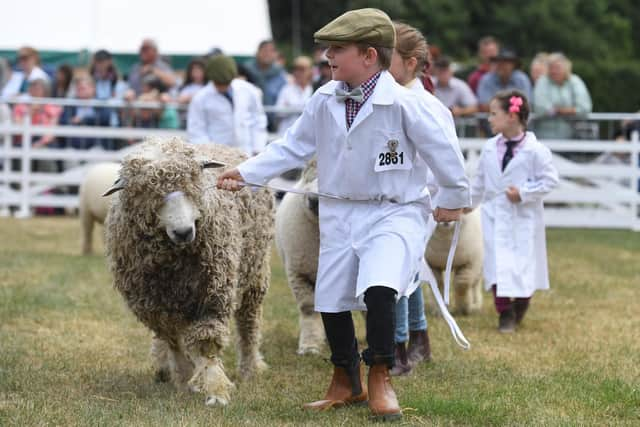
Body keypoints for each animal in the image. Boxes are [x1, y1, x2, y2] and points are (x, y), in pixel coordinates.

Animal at [105, 138, 276, 408]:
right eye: (148, 192)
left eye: (193, 181)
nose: (184, 231)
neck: (174, 264)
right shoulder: (154, 305)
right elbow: (173, 341)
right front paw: (185, 377)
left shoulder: (212, 294)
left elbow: (206, 344)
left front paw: (215, 389)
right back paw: (164, 368)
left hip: (255, 271)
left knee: (249, 322)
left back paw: (250, 368)